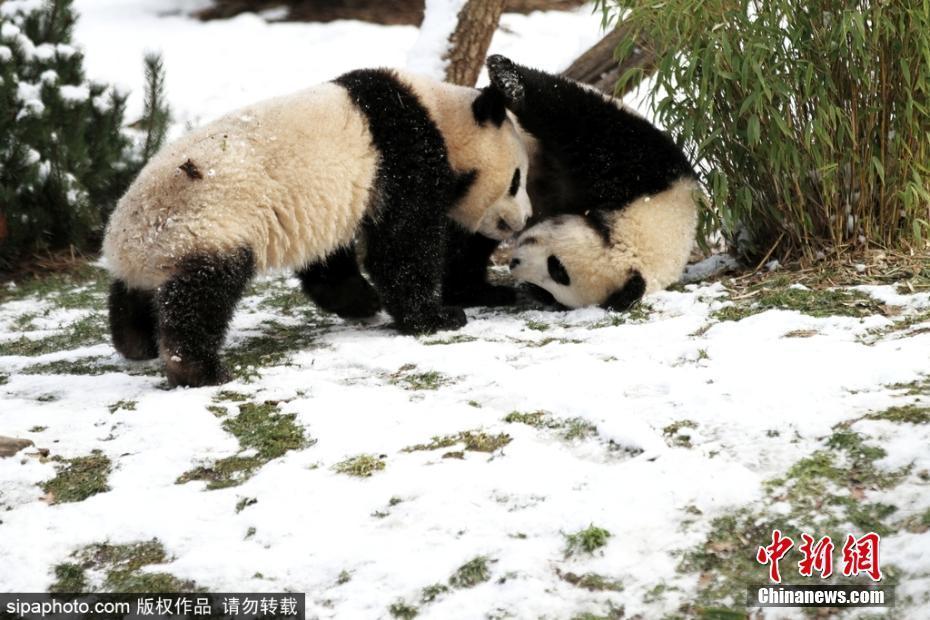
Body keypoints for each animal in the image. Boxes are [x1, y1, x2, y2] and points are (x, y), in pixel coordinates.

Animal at [103, 69, 528, 388]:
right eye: (516, 180)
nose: (522, 219)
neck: (438, 115)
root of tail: (126, 240)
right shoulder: (404, 156)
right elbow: (402, 246)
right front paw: (437, 316)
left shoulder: (328, 204)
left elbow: (329, 262)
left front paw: (363, 301)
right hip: (206, 222)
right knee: (201, 295)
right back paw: (198, 370)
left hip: (160, 246)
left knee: (137, 294)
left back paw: (136, 342)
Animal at [442, 55, 696, 310]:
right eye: (558, 268)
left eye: (555, 279)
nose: (515, 263)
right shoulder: (645, 169)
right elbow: (581, 121)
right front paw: (508, 79)